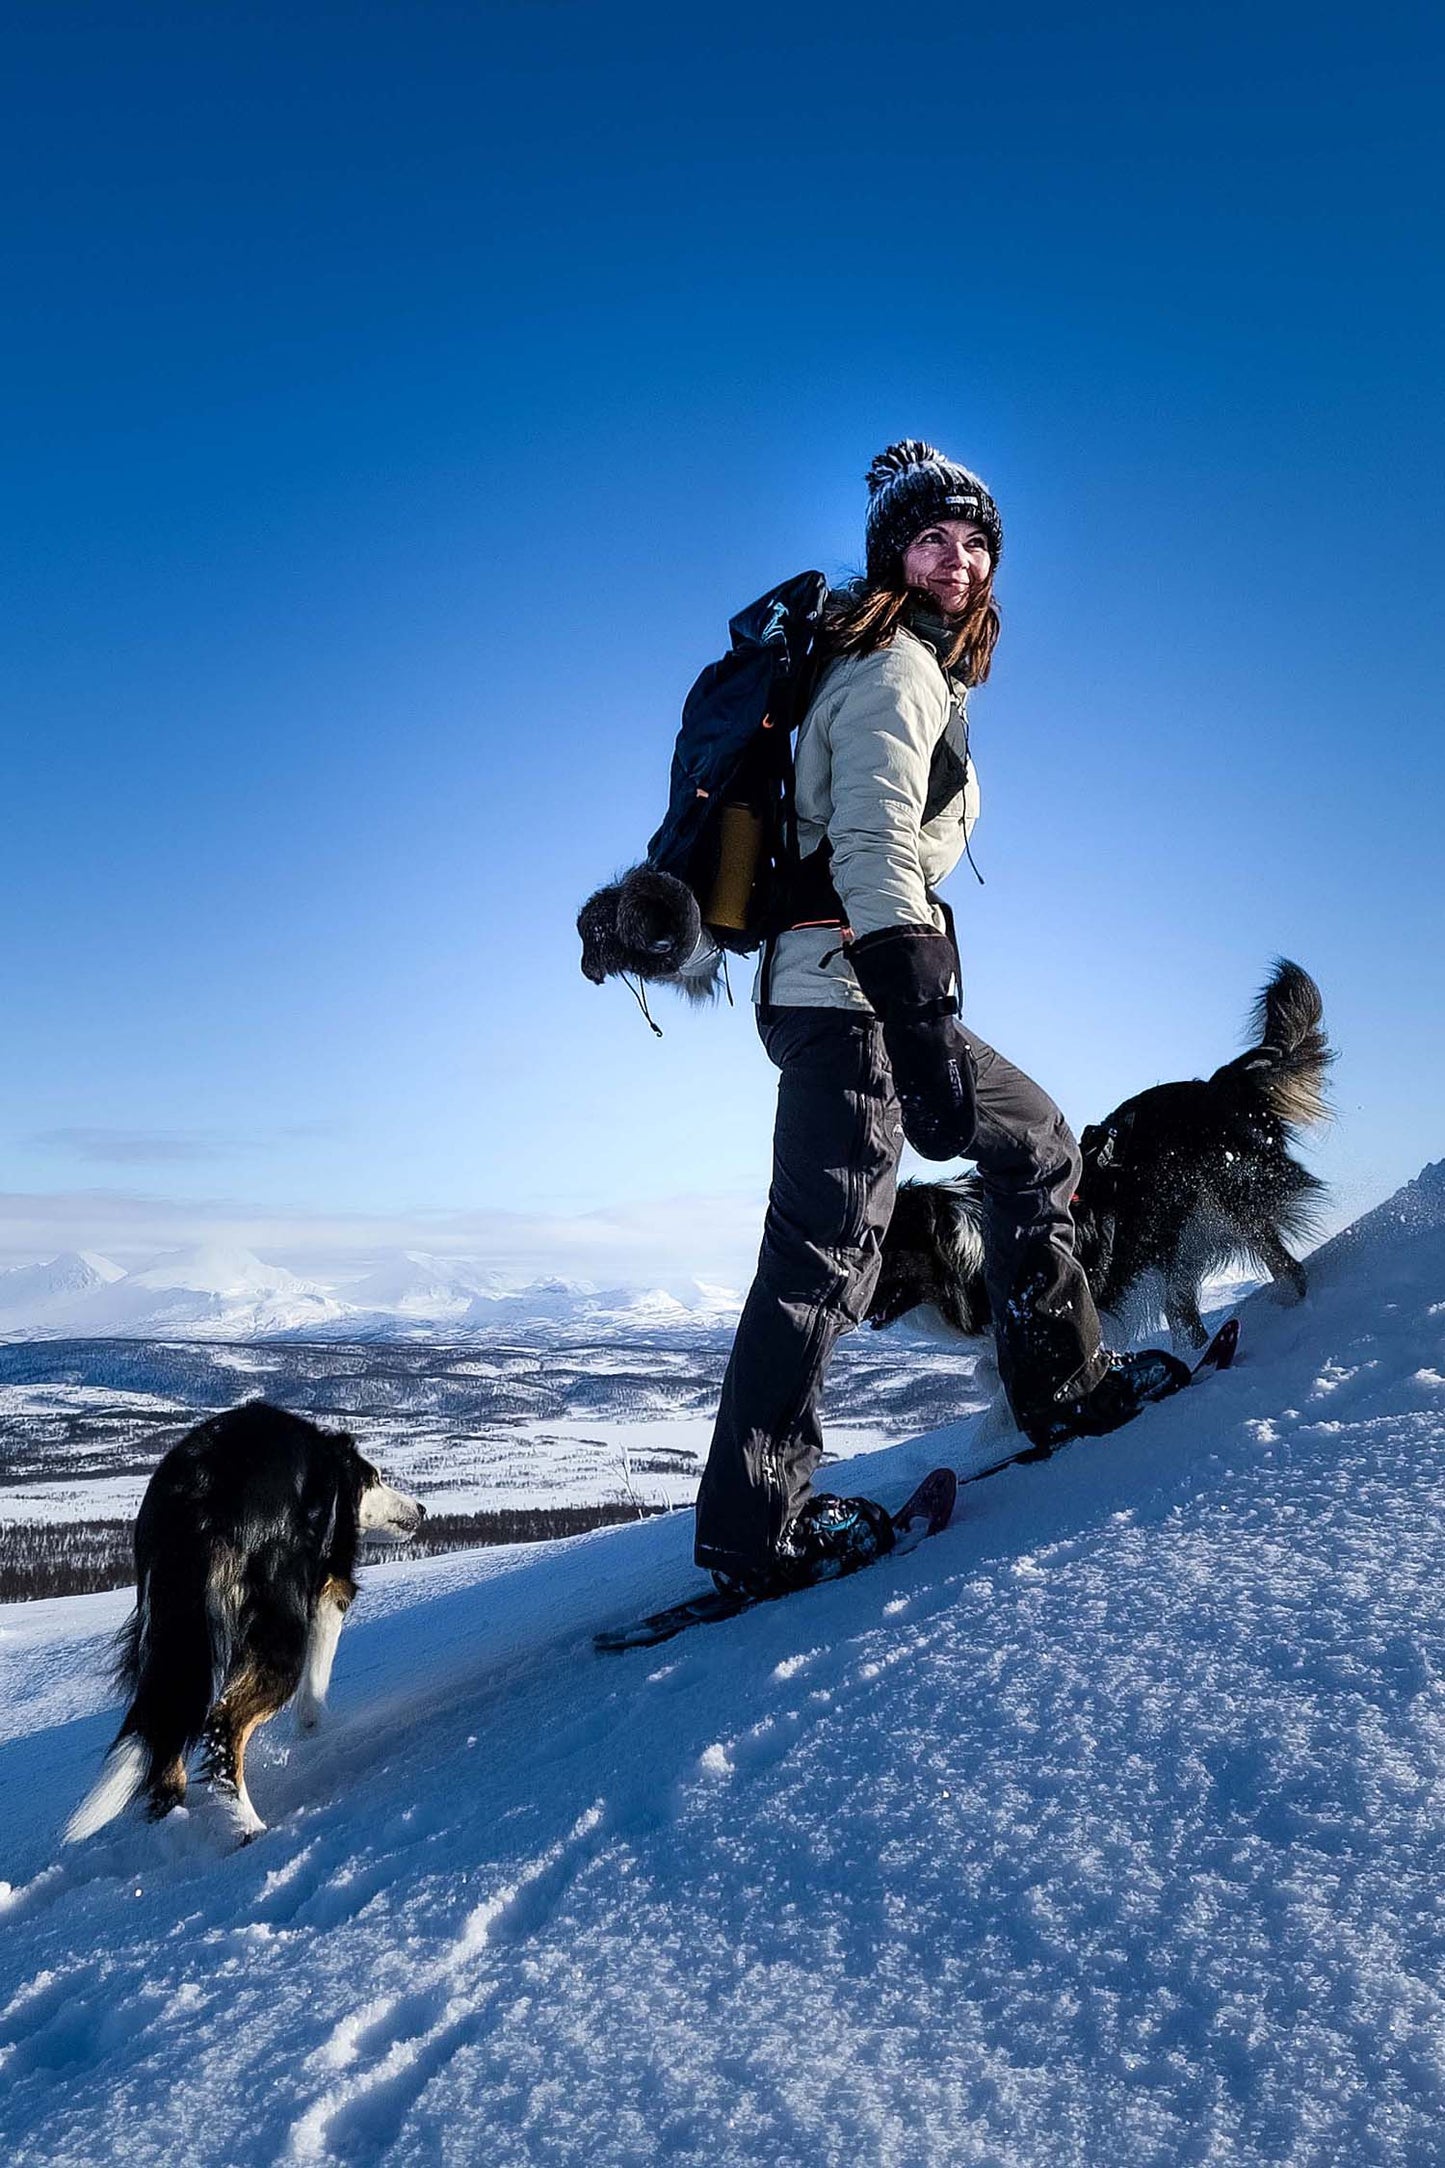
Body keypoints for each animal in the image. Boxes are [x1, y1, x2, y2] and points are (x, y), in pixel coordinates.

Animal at [66, 1404, 424, 1847]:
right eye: (373, 1478)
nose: (421, 1509)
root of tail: (202, 1490)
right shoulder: (330, 1585)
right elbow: (318, 1673)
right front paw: (314, 1729)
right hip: (278, 1624)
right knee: (223, 1726)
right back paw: (246, 1826)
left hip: (169, 1629)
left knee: (166, 1731)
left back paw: (172, 1820)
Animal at [870, 958, 1334, 1344]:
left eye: (887, 1249)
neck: (967, 1244)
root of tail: (1216, 1087)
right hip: (1174, 1244)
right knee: (1185, 1314)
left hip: (1232, 1203)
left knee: (1286, 1267)